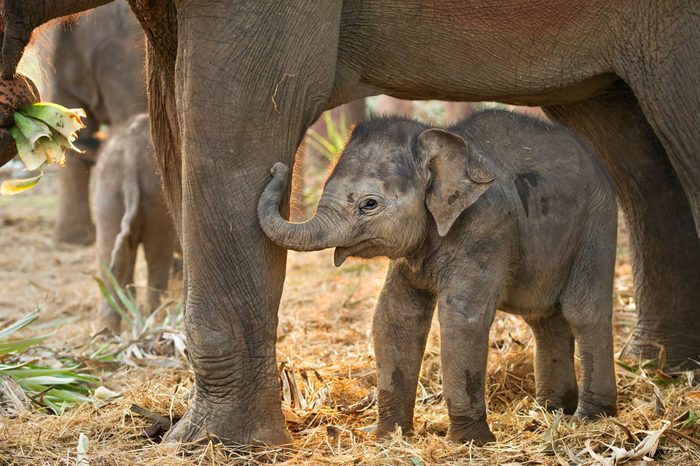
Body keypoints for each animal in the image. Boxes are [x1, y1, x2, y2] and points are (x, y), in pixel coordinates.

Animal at [91, 113, 178, 332]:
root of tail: (130, 159)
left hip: (108, 194)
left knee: (109, 253)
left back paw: (107, 330)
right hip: (156, 198)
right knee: (157, 252)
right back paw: (154, 316)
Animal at [258, 110, 616, 444]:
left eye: (369, 204)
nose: (278, 168)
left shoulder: (486, 226)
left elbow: (462, 319)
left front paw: (470, 442)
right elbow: (394, 316)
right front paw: (387, 435)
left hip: (596, 226)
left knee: (583, 312)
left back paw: (590, 417)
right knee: (543, 319)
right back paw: (549, 410)